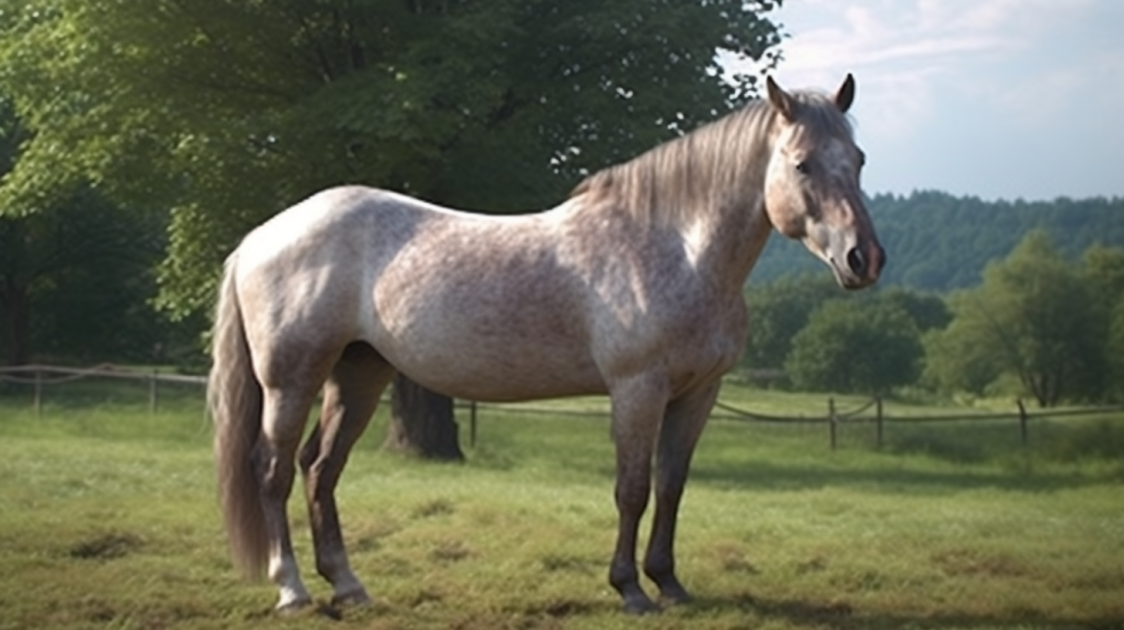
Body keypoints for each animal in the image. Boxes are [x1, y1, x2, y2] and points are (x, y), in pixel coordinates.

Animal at [209, 74, 884, 614]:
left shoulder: (697, 394)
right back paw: (292, 590)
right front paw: (630, 590)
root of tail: (263, 235)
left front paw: (670, 584)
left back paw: (348, 587)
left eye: (858, 158)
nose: (864, 259)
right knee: (272, 470)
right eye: (801, 164)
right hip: (290, 379)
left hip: (358, 375)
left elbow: (671, 485)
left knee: (320, 469)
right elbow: (632, 488)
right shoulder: (637, 389)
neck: (676, 247)